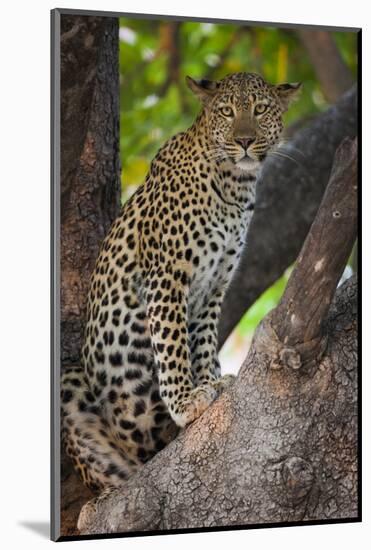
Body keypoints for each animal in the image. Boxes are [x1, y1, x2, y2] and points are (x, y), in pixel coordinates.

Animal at [60, 71, 300, 494]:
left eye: (259, 109)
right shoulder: (167, 275)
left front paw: (211, 383)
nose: (244, 140)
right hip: (74, 386)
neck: (235, 185)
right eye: (226, 111)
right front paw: (186, 404)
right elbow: (172, 344)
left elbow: (201, 343)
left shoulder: (215, 286)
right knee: (120, 467)